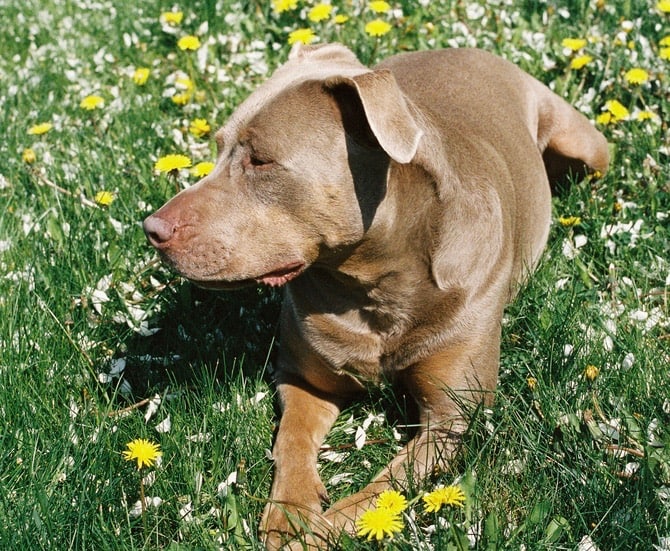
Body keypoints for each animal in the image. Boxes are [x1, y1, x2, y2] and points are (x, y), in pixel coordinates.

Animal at [144, 42, 612, 548]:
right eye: (218, 149)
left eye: (262, 161)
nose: (152, 229)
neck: (373, 286)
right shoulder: (303, 378)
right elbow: (292, 439)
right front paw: (290, 514)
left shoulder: (451, 418)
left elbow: (380, 494)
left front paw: (313, 534)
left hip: (585, 145)